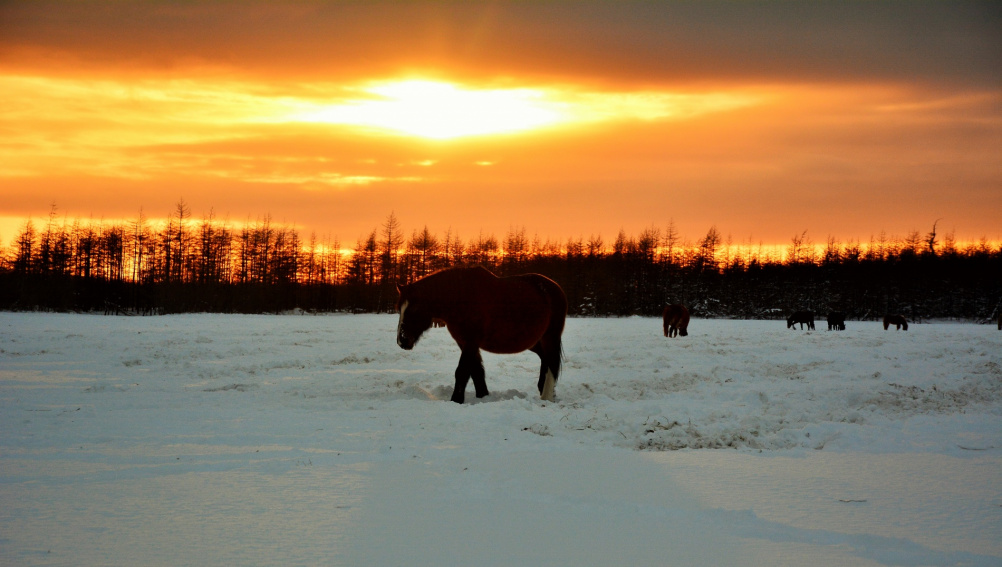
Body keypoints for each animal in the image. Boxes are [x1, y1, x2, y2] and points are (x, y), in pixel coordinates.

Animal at [395, 266, 567, 404]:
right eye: (399, 308)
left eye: (415, 309)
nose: (402, 341)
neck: (462, 299)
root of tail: (555, 287)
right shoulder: (464, 342)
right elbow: (476, 370)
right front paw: (483, 396)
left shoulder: (471, 341)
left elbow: (463, 371)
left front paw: (456, 400)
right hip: (535, 342)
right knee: (545, 359)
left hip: (550, 337)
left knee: (552, 362)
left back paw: (546, 397)